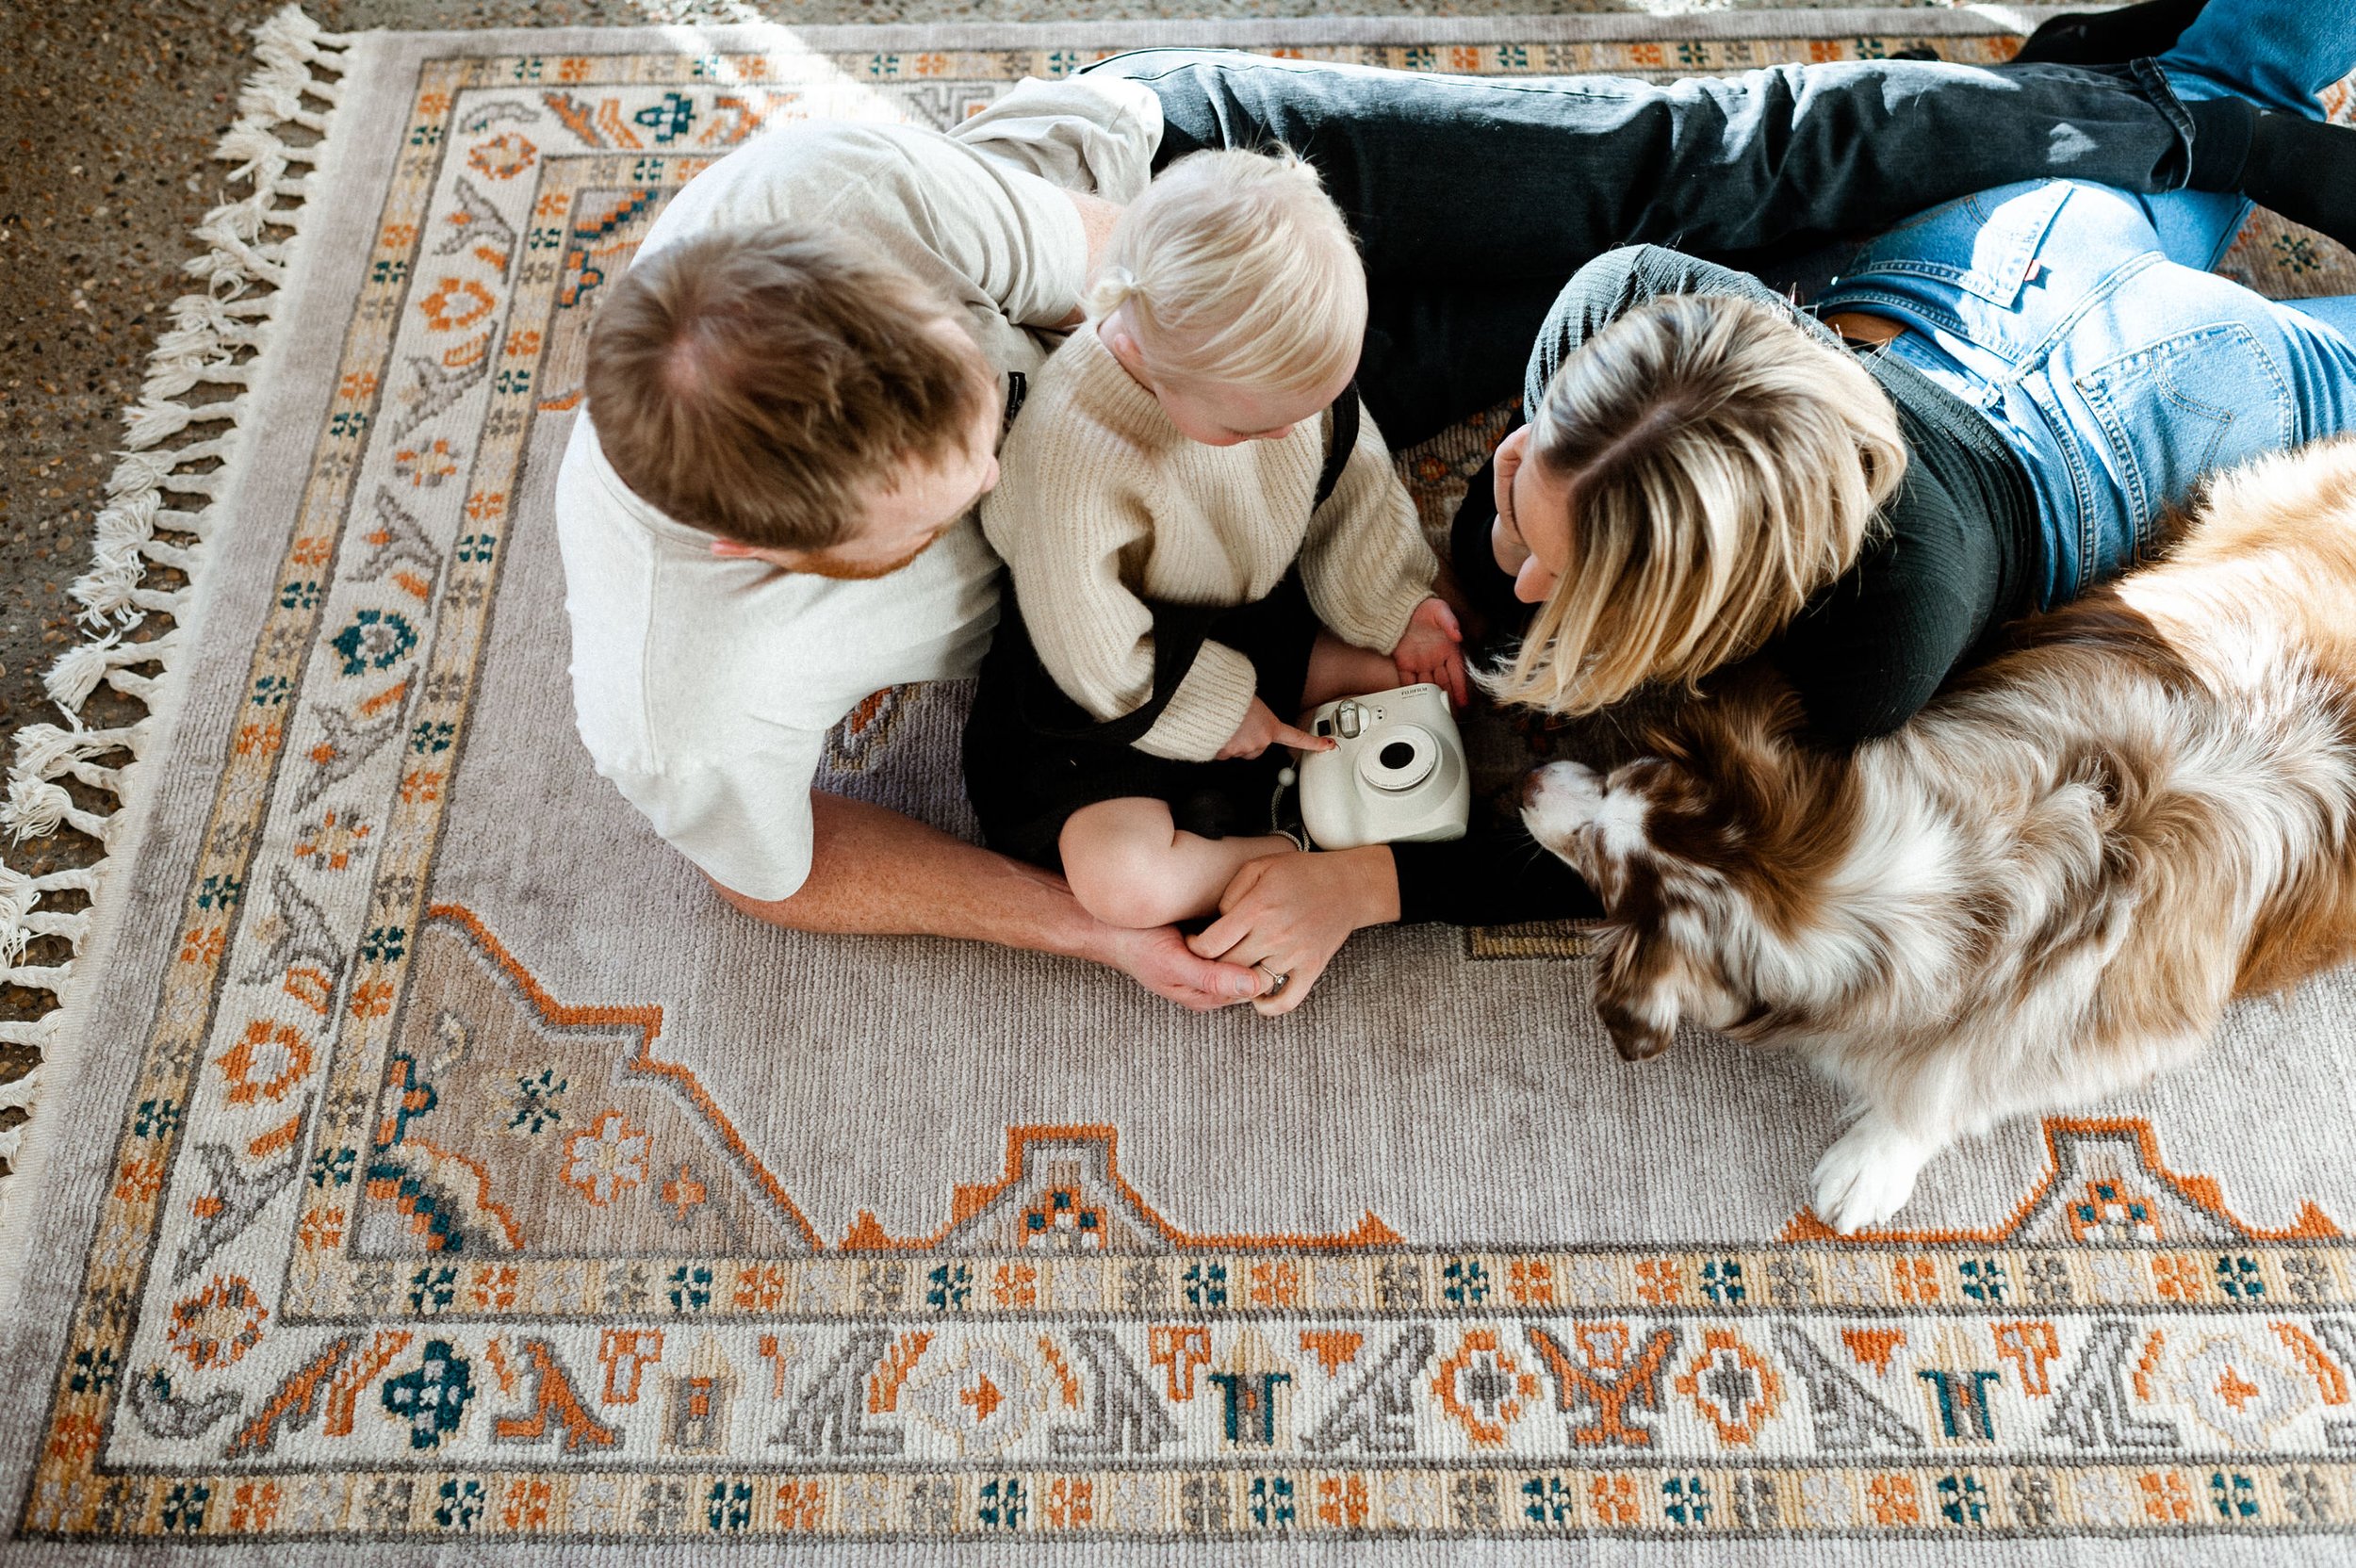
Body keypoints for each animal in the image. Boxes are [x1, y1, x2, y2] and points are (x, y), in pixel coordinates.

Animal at [1517, 433, 2356, 1224]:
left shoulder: (2118, 1032)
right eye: (1622, 778)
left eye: (1595, 863)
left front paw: (1875, 1157)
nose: (1526, 784)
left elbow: (1967, 1081)